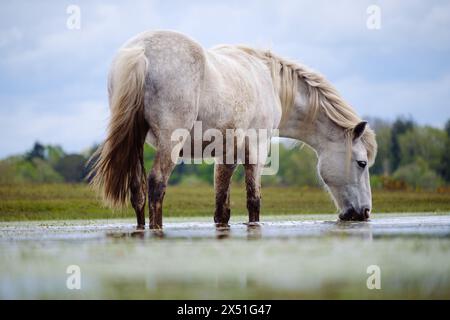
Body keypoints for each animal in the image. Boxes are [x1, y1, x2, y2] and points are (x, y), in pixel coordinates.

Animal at [88, 30, 376, 229]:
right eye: (362, 163)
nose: (364, 213)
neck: (269, 81)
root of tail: (141, 51)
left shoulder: (226, 154)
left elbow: (221, 207)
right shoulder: (256, 149)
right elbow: (253, 201)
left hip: (135, 143)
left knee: (138, 190)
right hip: (170, 143)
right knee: (157, 184)